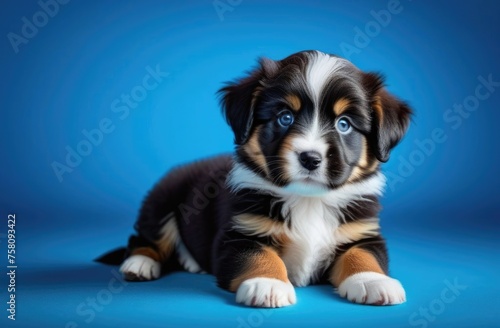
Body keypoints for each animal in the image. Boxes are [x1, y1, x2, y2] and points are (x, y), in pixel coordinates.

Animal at [99, 49, 412, 308]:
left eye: (344, 124)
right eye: (285, 117)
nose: (310, 158)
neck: (308, 200)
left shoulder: (362, 232)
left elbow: (364, 255)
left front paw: (373, 281)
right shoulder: (240, 234)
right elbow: (259, 256)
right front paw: (267, 284)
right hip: (163, 197)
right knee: (144, 237)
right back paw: (139, 264)